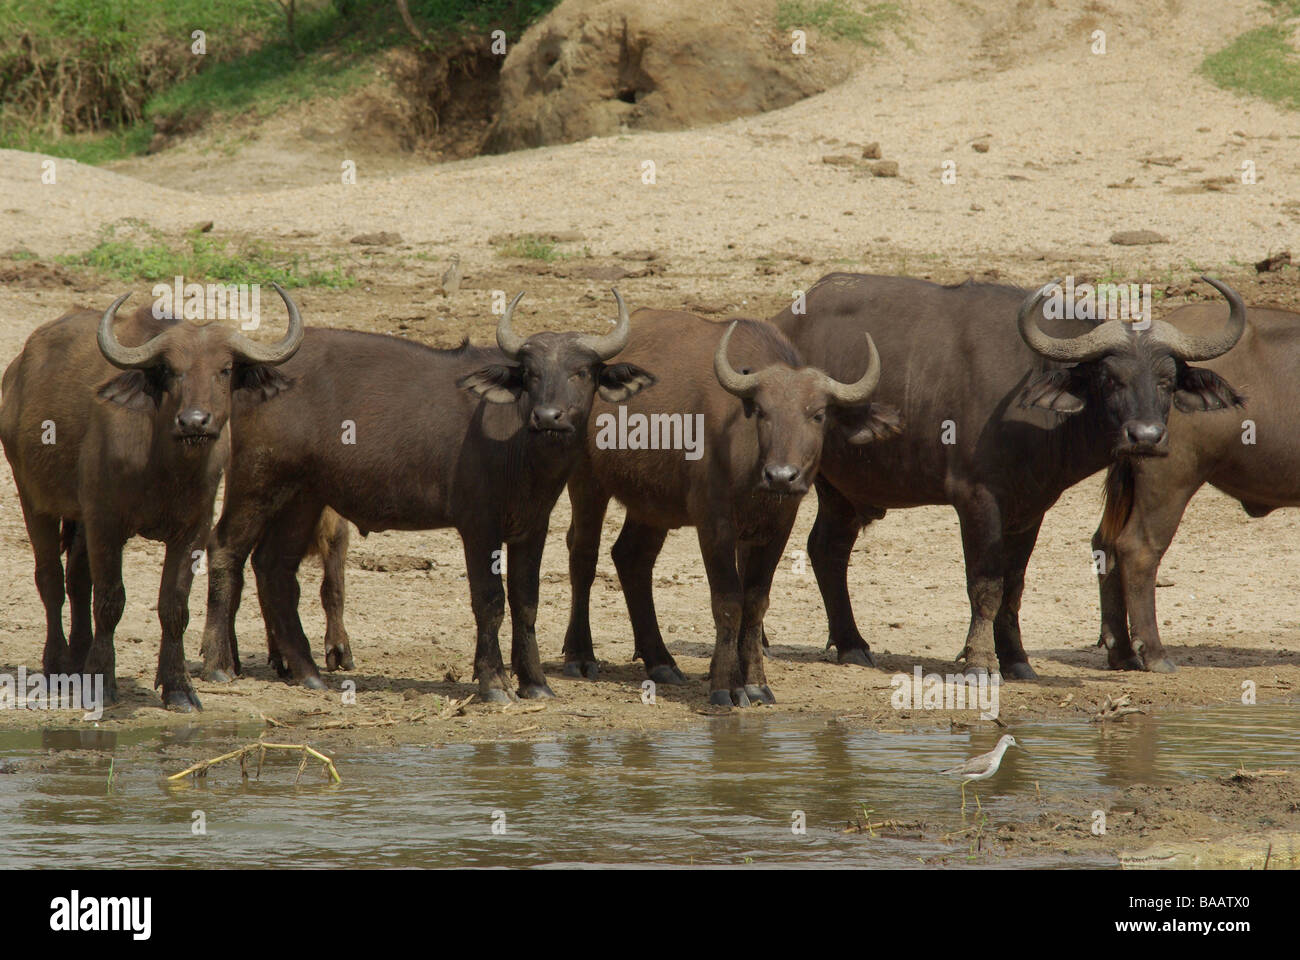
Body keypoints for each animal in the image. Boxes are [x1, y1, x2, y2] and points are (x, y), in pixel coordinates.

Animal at [0, 286, 304, 710]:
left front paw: (178, 687)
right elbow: (109, 600)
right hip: (33, 497)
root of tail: (16, 372)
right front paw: (102, 683)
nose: (194, 421)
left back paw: (78, 659)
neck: (164, 467)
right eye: (171, 371)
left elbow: (174, 606)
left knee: (76, 579)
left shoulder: (192, 531)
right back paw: (58, 665)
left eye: (225, 369)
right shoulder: (106, 523)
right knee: (51, 580)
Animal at [200, 290, 655, 703]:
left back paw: (307, 672)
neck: (522, 449)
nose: (548, 416)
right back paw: (219, 665)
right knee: (226, 549)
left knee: (274, 567)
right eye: (531, 374)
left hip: (303, 498)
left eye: (582, 371)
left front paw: (536, 684)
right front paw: (494, 683)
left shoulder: (533, 525)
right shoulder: (478, 526)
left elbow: (527, 601)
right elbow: (489, 600)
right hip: (256, 480)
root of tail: (254, 376)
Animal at [562, 311, 899, 706]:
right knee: (583, 553)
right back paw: (580, 656)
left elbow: (755, 602)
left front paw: (754, 682)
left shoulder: (778, 526)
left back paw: (661, 661)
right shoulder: (714, 522)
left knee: (632, 558)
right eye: (763, 413)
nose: (782, 476)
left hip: (652, 505)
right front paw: (726, 685)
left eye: (817, 415)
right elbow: (727, 601)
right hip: (586, 481)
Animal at [772, 274, 1245, 679]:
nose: (1145, 436)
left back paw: (852, 644)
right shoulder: (977, 499)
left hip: (841, 491)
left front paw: (1016, 659)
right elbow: (986, 584)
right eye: (1110, 379)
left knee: (827, 550)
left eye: (1167, 381)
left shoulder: (1030, 509)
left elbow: (1013, 587)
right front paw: (980, 661)